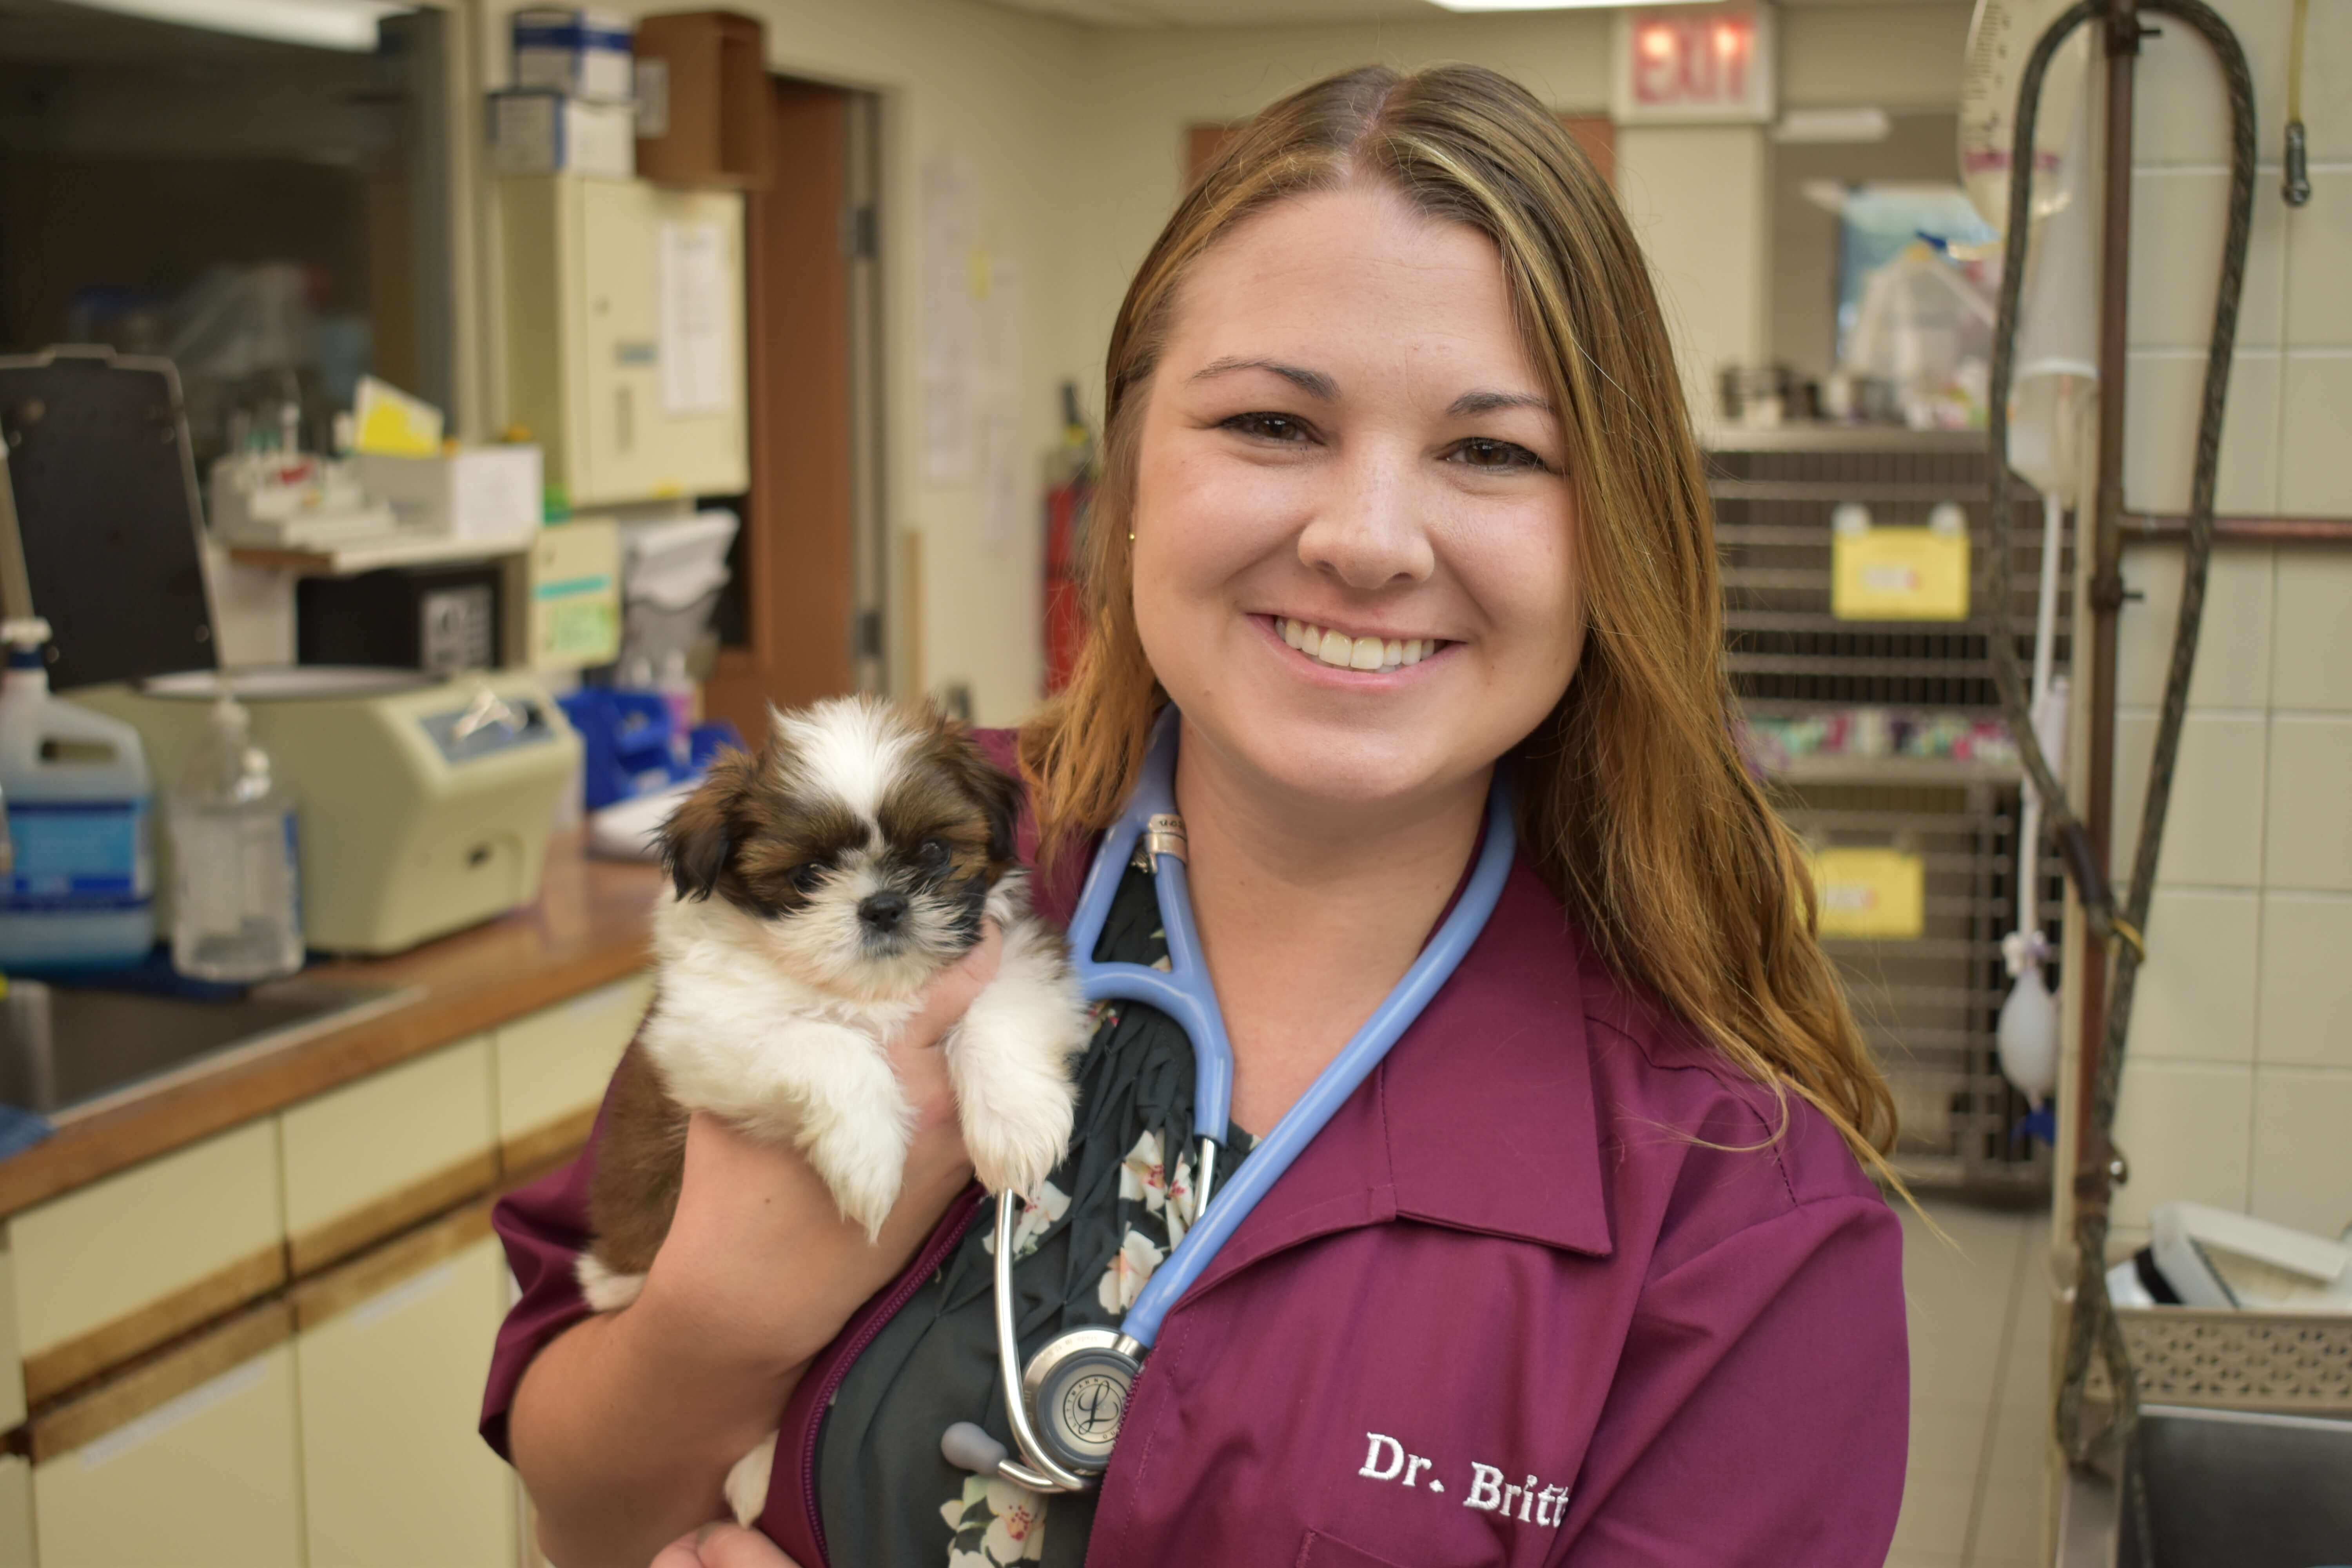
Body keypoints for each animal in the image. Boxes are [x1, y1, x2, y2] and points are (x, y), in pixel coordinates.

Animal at [574, 696, 1087, 1523]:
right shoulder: (708, 1034)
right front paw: (870, 1163)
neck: (874, 993)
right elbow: (826, 1043)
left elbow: (996, 1012)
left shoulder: (1016, 958)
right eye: (809, 874)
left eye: (935, 854)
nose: (883, 906)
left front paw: (1015, 1126)